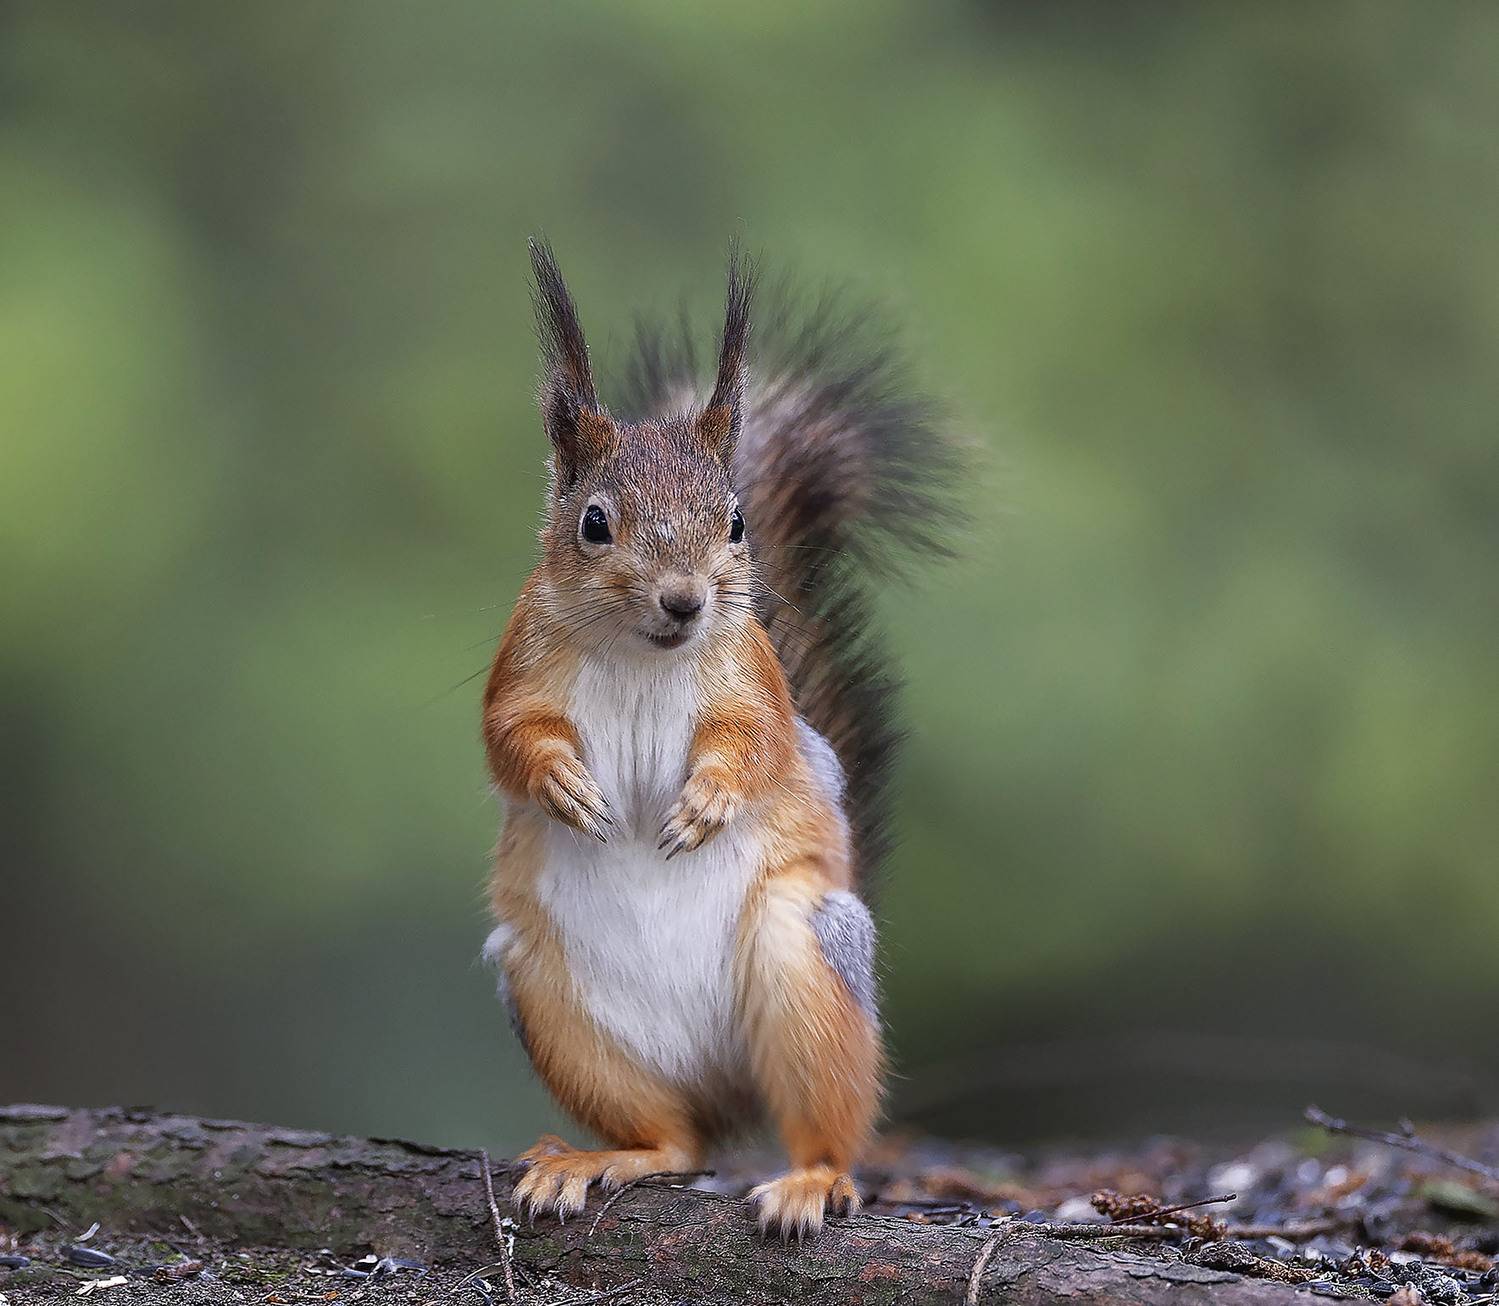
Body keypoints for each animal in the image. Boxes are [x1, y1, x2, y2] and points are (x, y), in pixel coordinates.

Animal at [481, 240, 957, 1239]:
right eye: (594, 523)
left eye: (736, 522)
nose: (684, 601)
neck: (641, 656)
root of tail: (721, 1092)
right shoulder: (517, 669)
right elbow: (510, 738)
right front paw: (564, 787)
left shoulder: (757, 689)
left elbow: (756, 748)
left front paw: (704, 807)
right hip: (551, 999)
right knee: (675, 1141)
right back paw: (601, 1158)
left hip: (803, 961)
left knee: (821, 1125)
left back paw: (810, 1180)